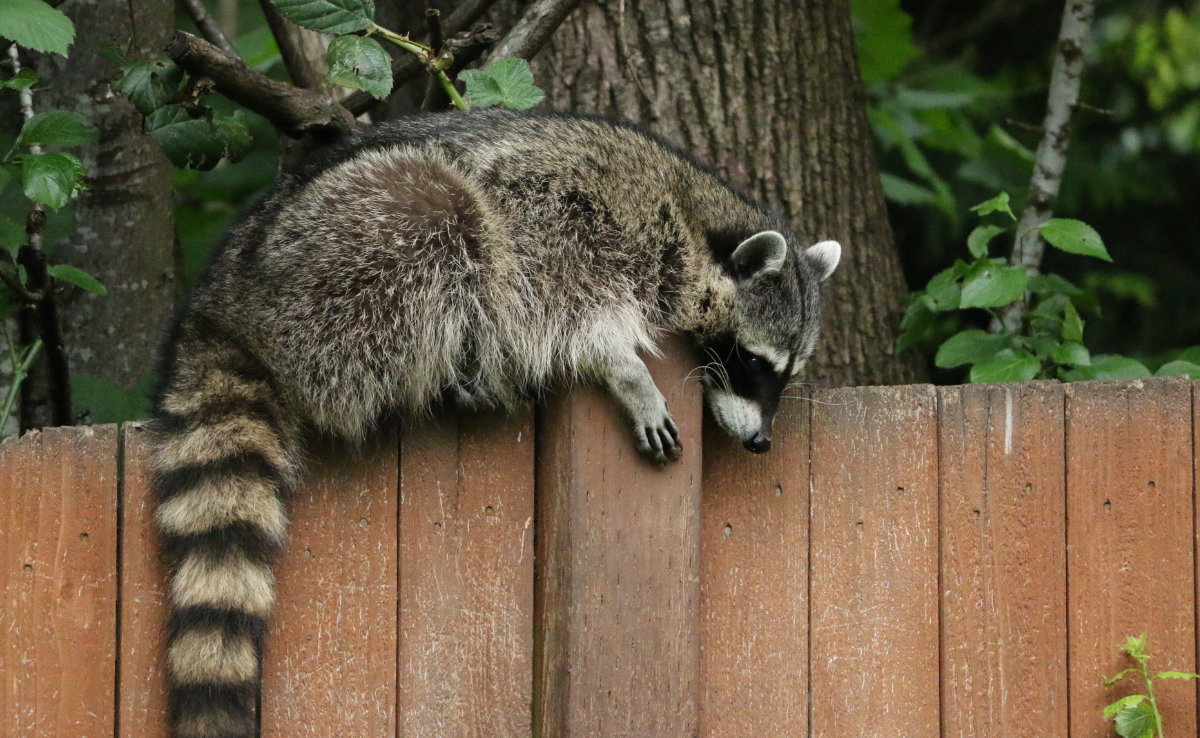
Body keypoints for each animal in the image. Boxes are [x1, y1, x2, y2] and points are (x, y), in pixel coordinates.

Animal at [150, 109, 839, 737]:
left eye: (787, 372)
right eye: (753, 360)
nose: (760, 441)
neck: (692, 217)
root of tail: (224, 300)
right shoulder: (562, 214)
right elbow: (559, 310)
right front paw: (623, 367)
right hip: (345, 253)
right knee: (443, 222)